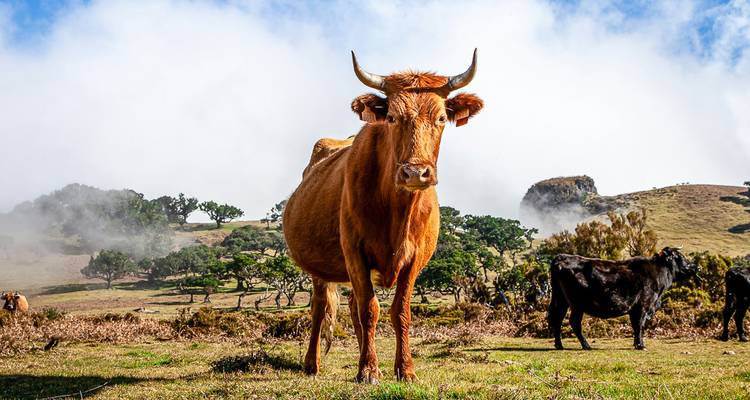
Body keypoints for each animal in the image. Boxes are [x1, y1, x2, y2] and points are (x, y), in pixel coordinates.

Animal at [283, 50, 483, 383]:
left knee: (352, 306)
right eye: (391, 117)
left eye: (441, 118)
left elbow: (399, 310)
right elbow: (370, 309)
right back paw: (313, 364)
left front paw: (404, 369)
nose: (415, 172)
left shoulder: (415, 258)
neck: (396, 211)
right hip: (320, 269)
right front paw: (368, 370)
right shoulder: (355, 251)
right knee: (321, 307)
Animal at [548, 247, 698, 350]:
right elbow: (640, 325)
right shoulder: (643, 306)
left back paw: (559, 345)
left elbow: (635, 326)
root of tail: (562, 256)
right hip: (577, 304)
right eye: (680, 257)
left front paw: (636, 344)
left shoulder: (635, 309)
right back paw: (586, 345)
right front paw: (641, 345)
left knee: (557, 320)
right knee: (574, 322)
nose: (696, 266)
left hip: (561, 300)